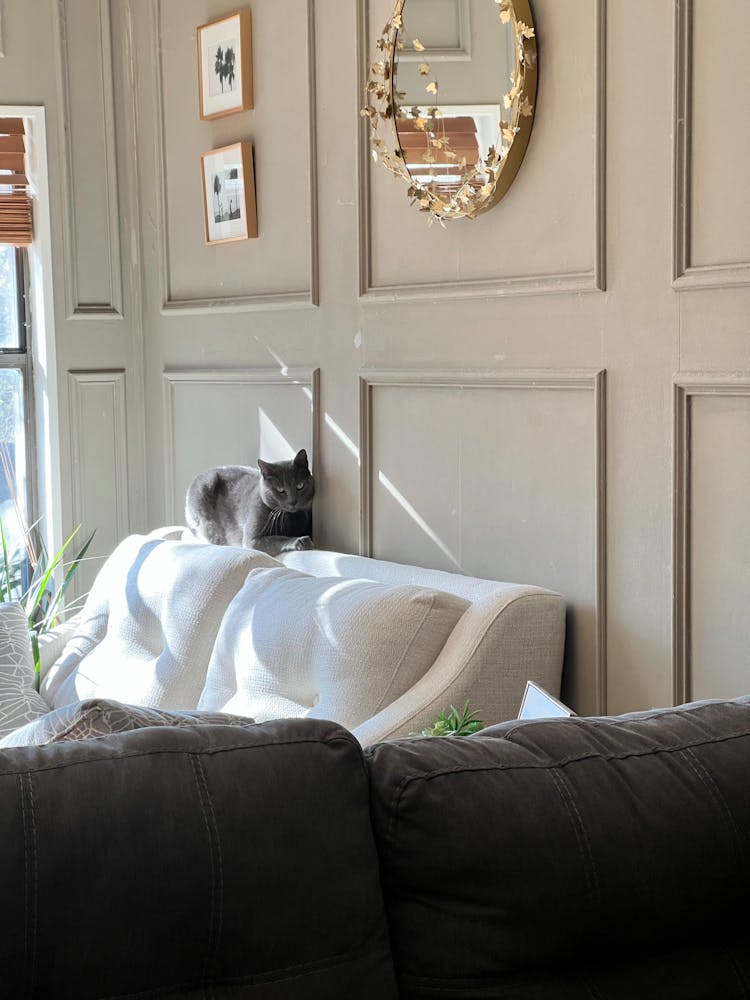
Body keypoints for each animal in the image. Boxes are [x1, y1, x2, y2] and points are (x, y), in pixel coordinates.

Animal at [189, 450, 318, 560]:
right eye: (280, 490)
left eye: (300, 486)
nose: (293, 501)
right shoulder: (252, 540)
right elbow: (278, 538)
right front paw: (300, 541)